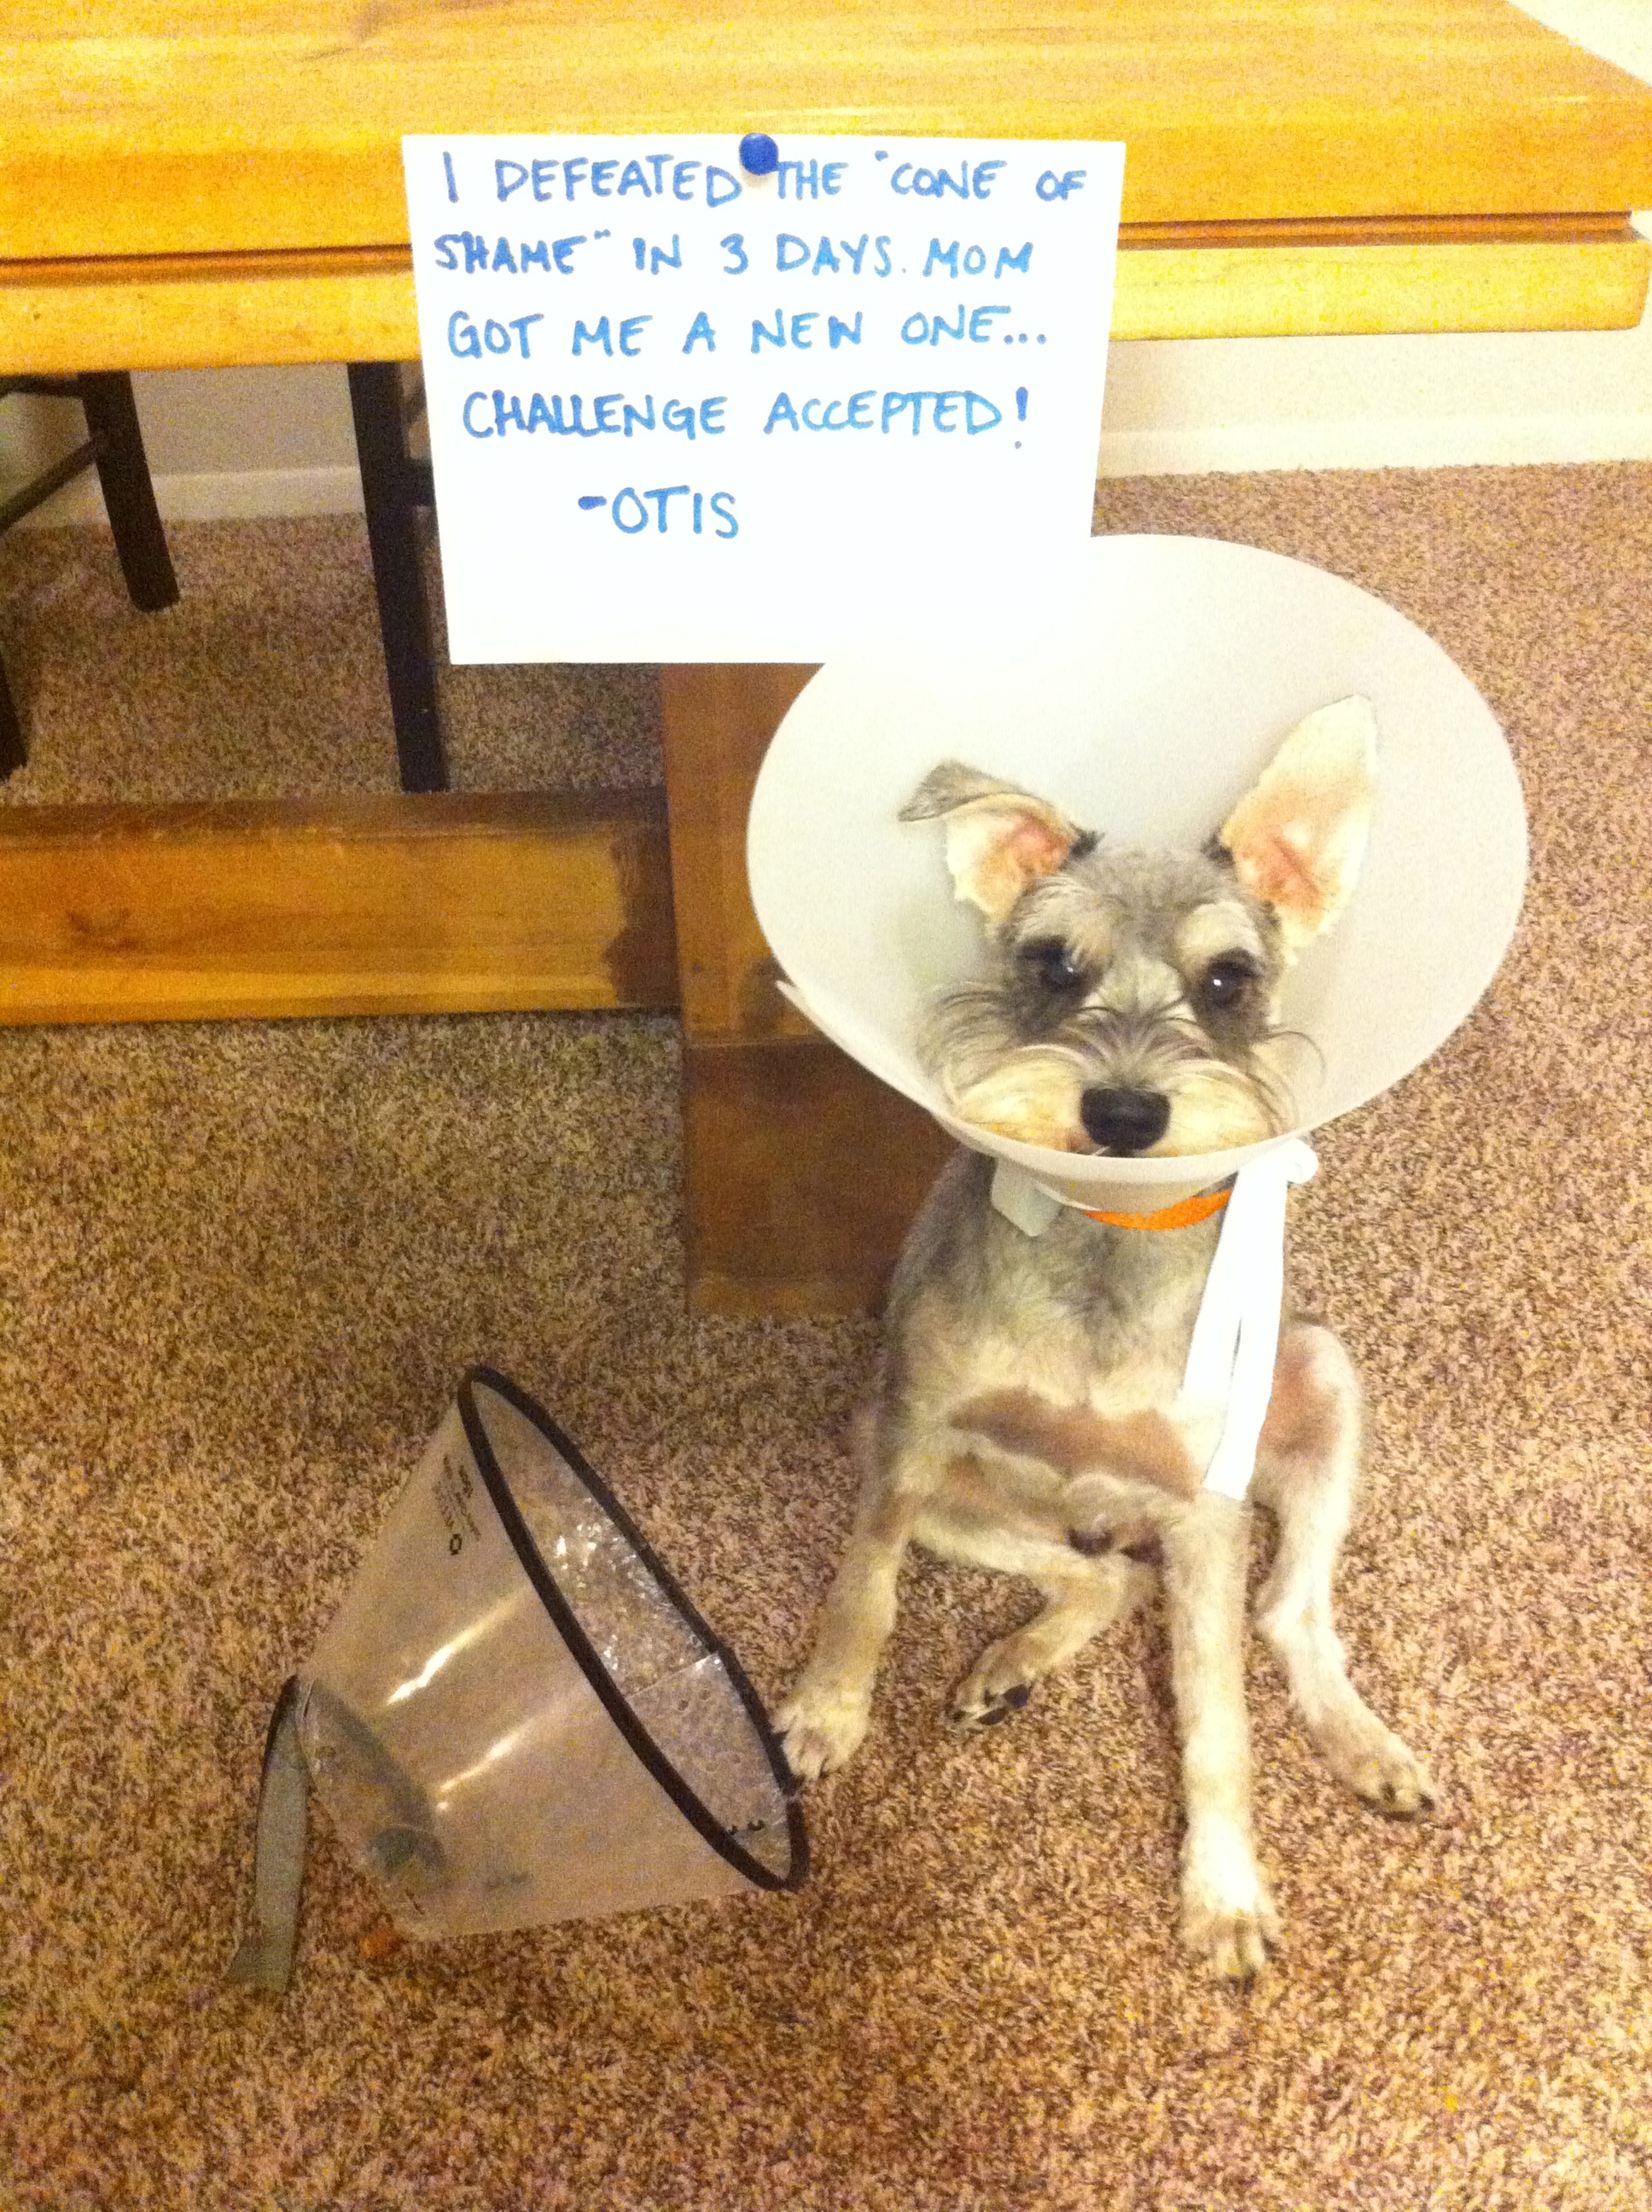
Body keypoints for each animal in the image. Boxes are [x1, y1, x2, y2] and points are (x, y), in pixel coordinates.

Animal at [778, 699, 1433, 1982]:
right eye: (1050, 964)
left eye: (1227, 978)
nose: (1124, 1113)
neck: (1105, 1249)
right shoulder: (908, 1439)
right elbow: (862, 1593)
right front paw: (826, 1714)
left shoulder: (1206, 1516)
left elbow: (1216, 1718)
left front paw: (1224, 1897)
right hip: (923, 1470)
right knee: (1104, 1577)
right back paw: (1008, 1667)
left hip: (1323, 1385)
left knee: (1286, 1614)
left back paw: (1370, 1748)